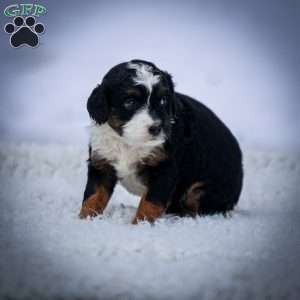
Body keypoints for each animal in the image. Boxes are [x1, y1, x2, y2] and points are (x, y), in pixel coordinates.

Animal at [78, 59, 243, 223]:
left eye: (163, 100)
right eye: (130, 102)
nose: (157, 128)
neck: (129, 143)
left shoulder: (165, 168)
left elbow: (150, 202)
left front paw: (141, 224)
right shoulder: (102, 162)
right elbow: (93, 196)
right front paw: (84, 219)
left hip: (204, 190)